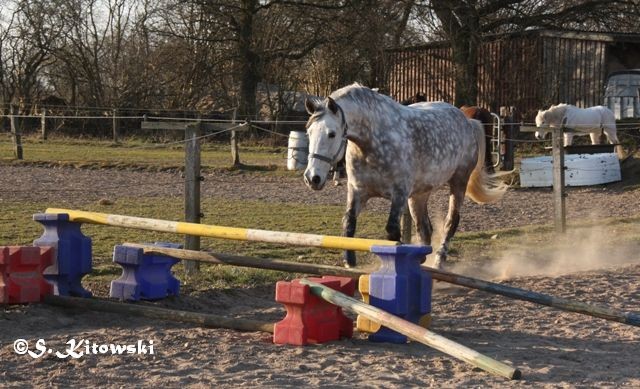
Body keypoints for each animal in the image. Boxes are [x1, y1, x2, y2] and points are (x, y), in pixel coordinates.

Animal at [302, 83, 508, 268]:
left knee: (451, 222)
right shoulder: (358, 191)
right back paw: (422, 257)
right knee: (425, 228)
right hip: (419, 194)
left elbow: (392, 231)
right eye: (309, 132)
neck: (372, 142)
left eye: (331, 133)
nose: (313, 178)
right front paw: (349, 261)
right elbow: (349, 223)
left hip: (459, 182)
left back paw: (439, 258)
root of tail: (468, 121)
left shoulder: (399, 193)